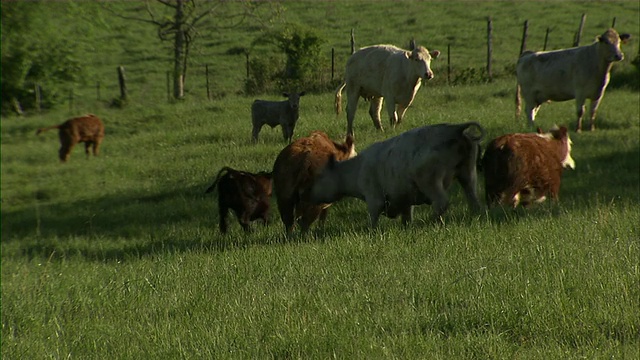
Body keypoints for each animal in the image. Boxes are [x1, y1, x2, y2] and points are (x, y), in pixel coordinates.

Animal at [310, 121, 484, 228]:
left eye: (319, 176)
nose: (308, 193)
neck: (355, 169)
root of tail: (454, 129)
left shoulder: (373, 197)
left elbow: (373, 218)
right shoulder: (406, 198)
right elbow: (406, 217)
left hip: (430, 181)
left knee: (442, 202)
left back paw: (431, 222)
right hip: (468, 173)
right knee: (473, 199)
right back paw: (475, 217)